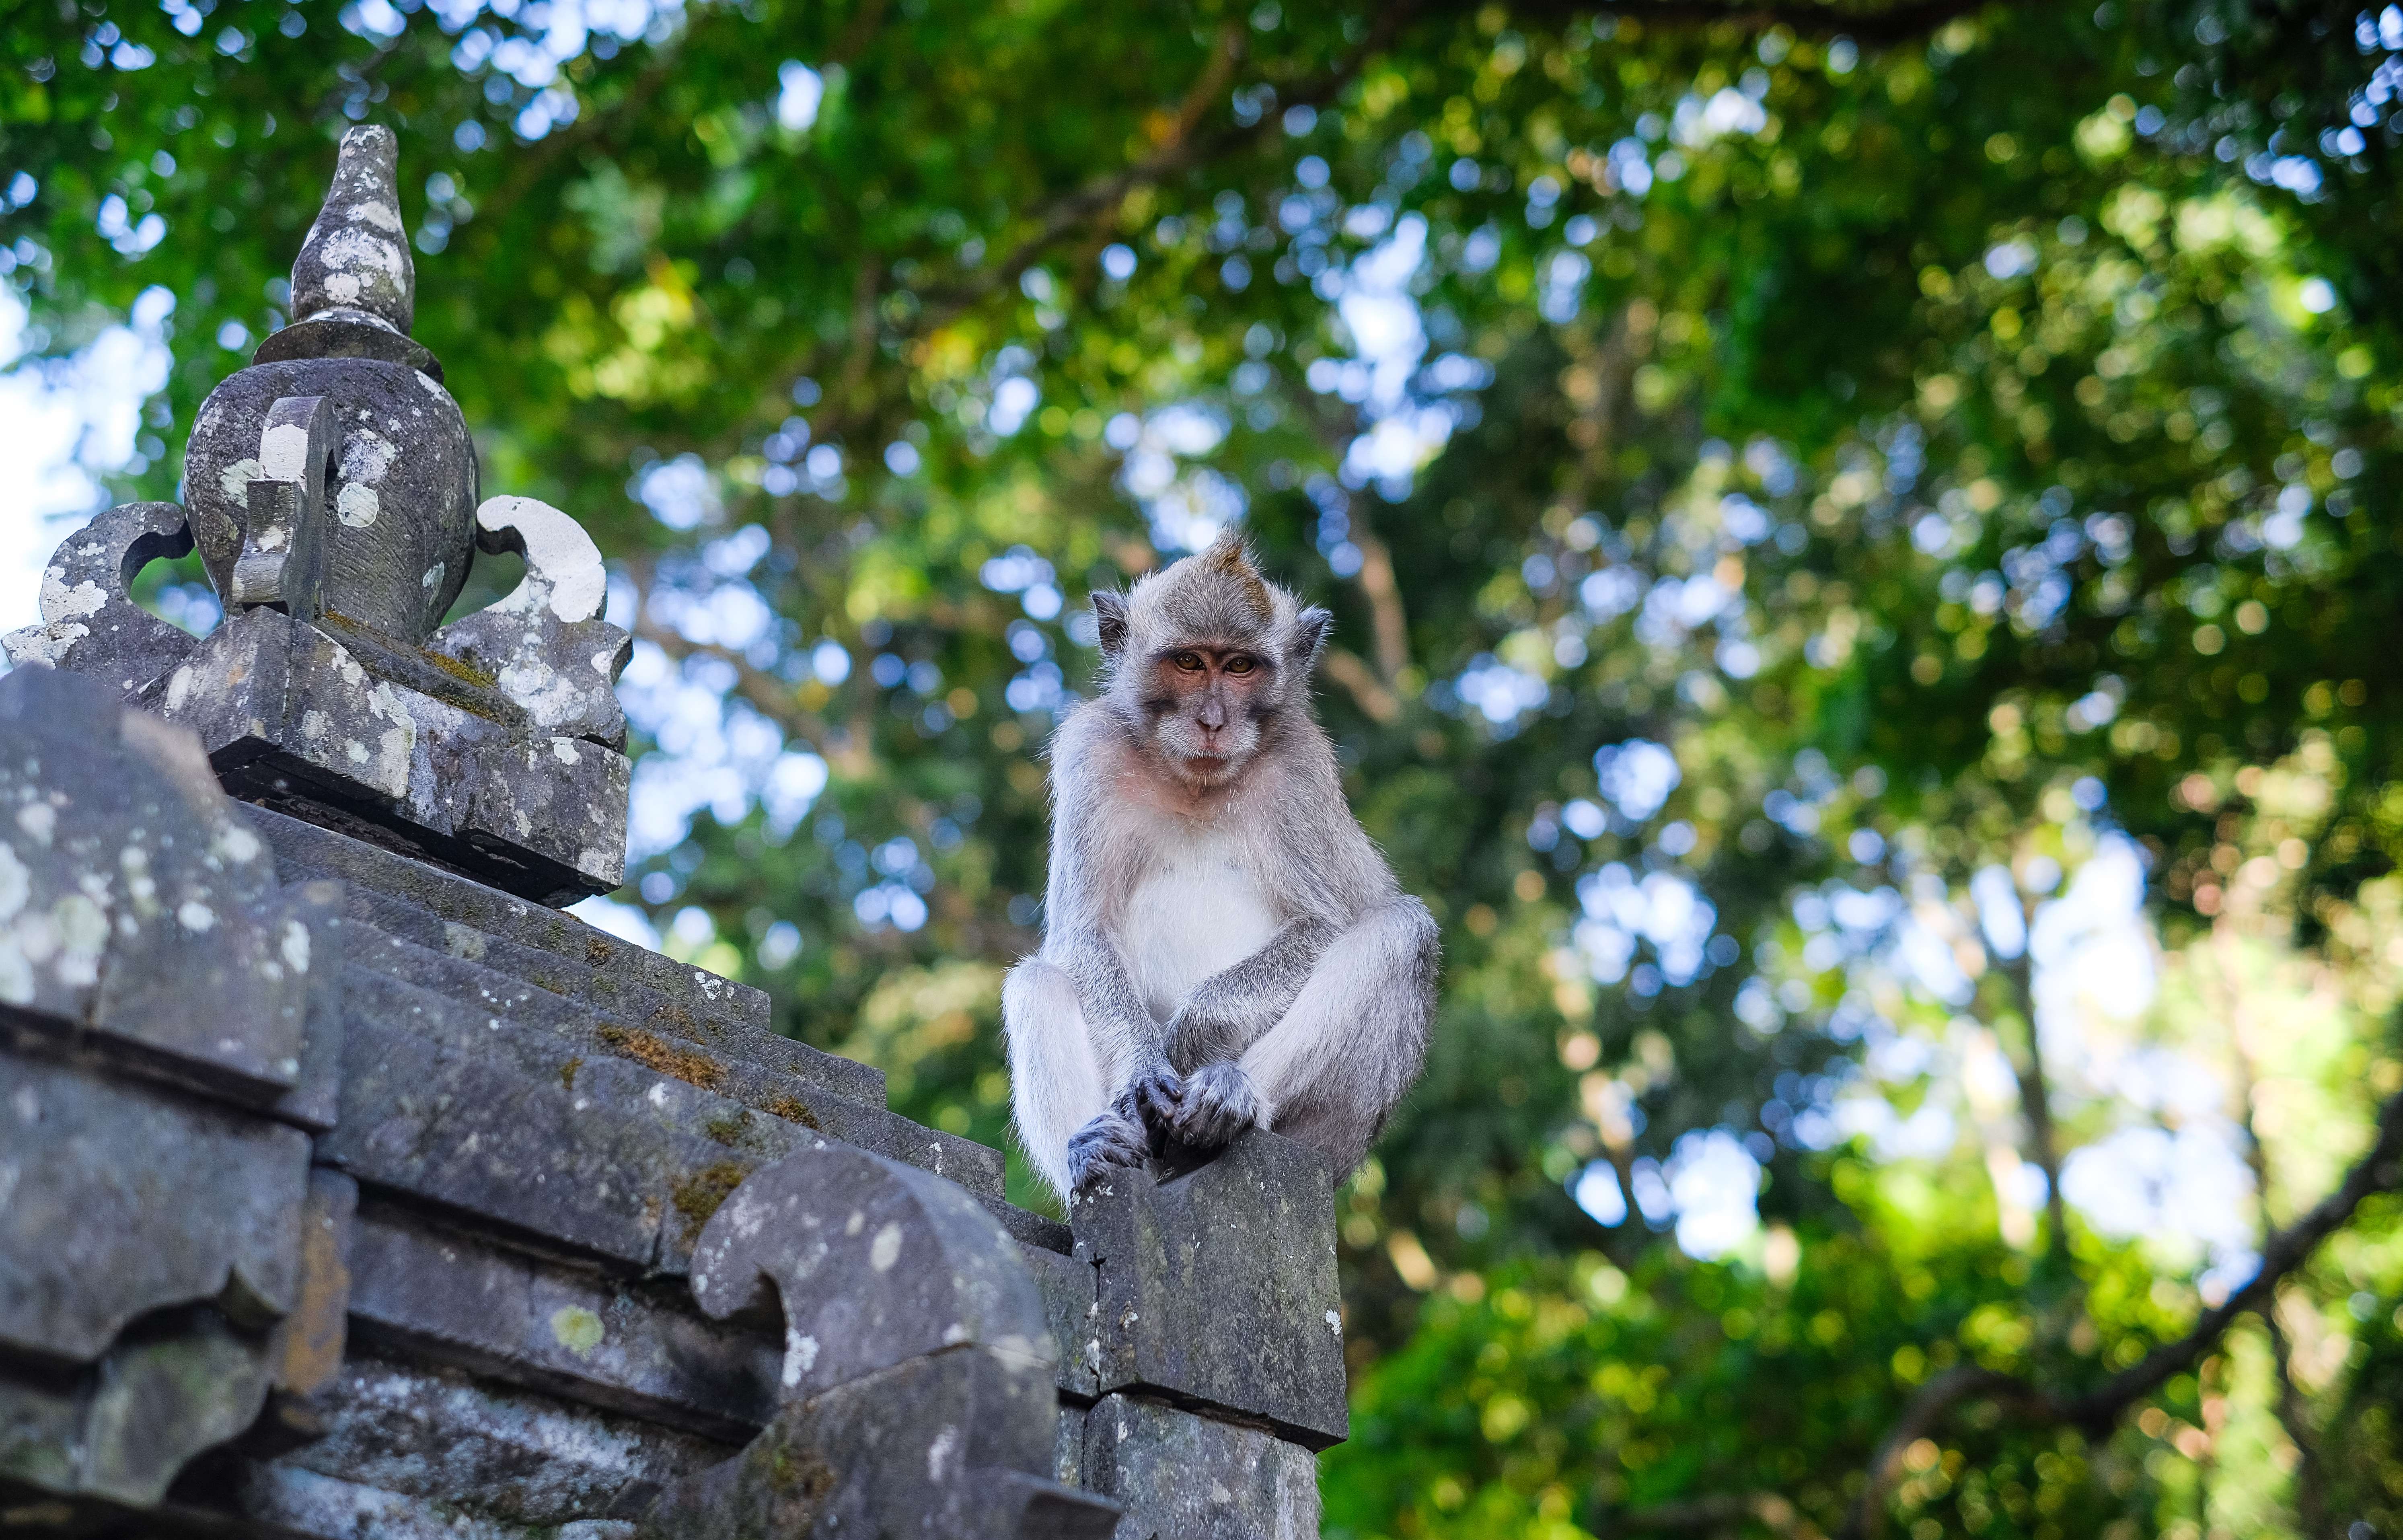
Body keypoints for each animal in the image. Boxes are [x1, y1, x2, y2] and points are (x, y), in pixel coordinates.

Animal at [1003, 528, 1438, 1201]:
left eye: (1239, 667)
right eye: (1188, 663)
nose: (1212, 721)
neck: (1194, 783)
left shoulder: (1300, 767)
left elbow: (1322, 925)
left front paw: (1190, 1037)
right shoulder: (1089, 752)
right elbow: (1083, 931)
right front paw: (1144, 1064)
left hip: (1331, 1139)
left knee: (1399, 933)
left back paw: (1230, 1098)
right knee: (1037, 982)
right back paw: (1095, 1149)